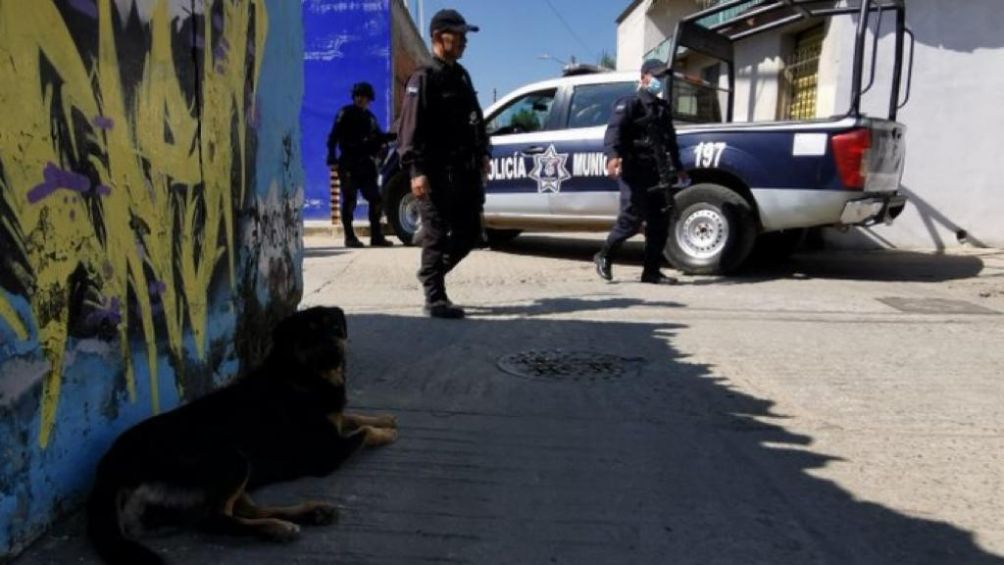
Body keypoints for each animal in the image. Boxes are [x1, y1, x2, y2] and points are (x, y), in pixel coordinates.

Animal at [88, 309, 395, 565]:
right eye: (309, 334)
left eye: (335, 327)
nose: (334, 348)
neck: (299, 375)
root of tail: (109, 468)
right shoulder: (326, 454)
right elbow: (361, 432)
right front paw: (383, 432)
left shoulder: (333, 421)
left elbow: (351, 417)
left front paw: (384, 420)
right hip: (231, 459)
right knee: (216, 519)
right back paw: (277, 528)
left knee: (240, 510)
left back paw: (311, 513)